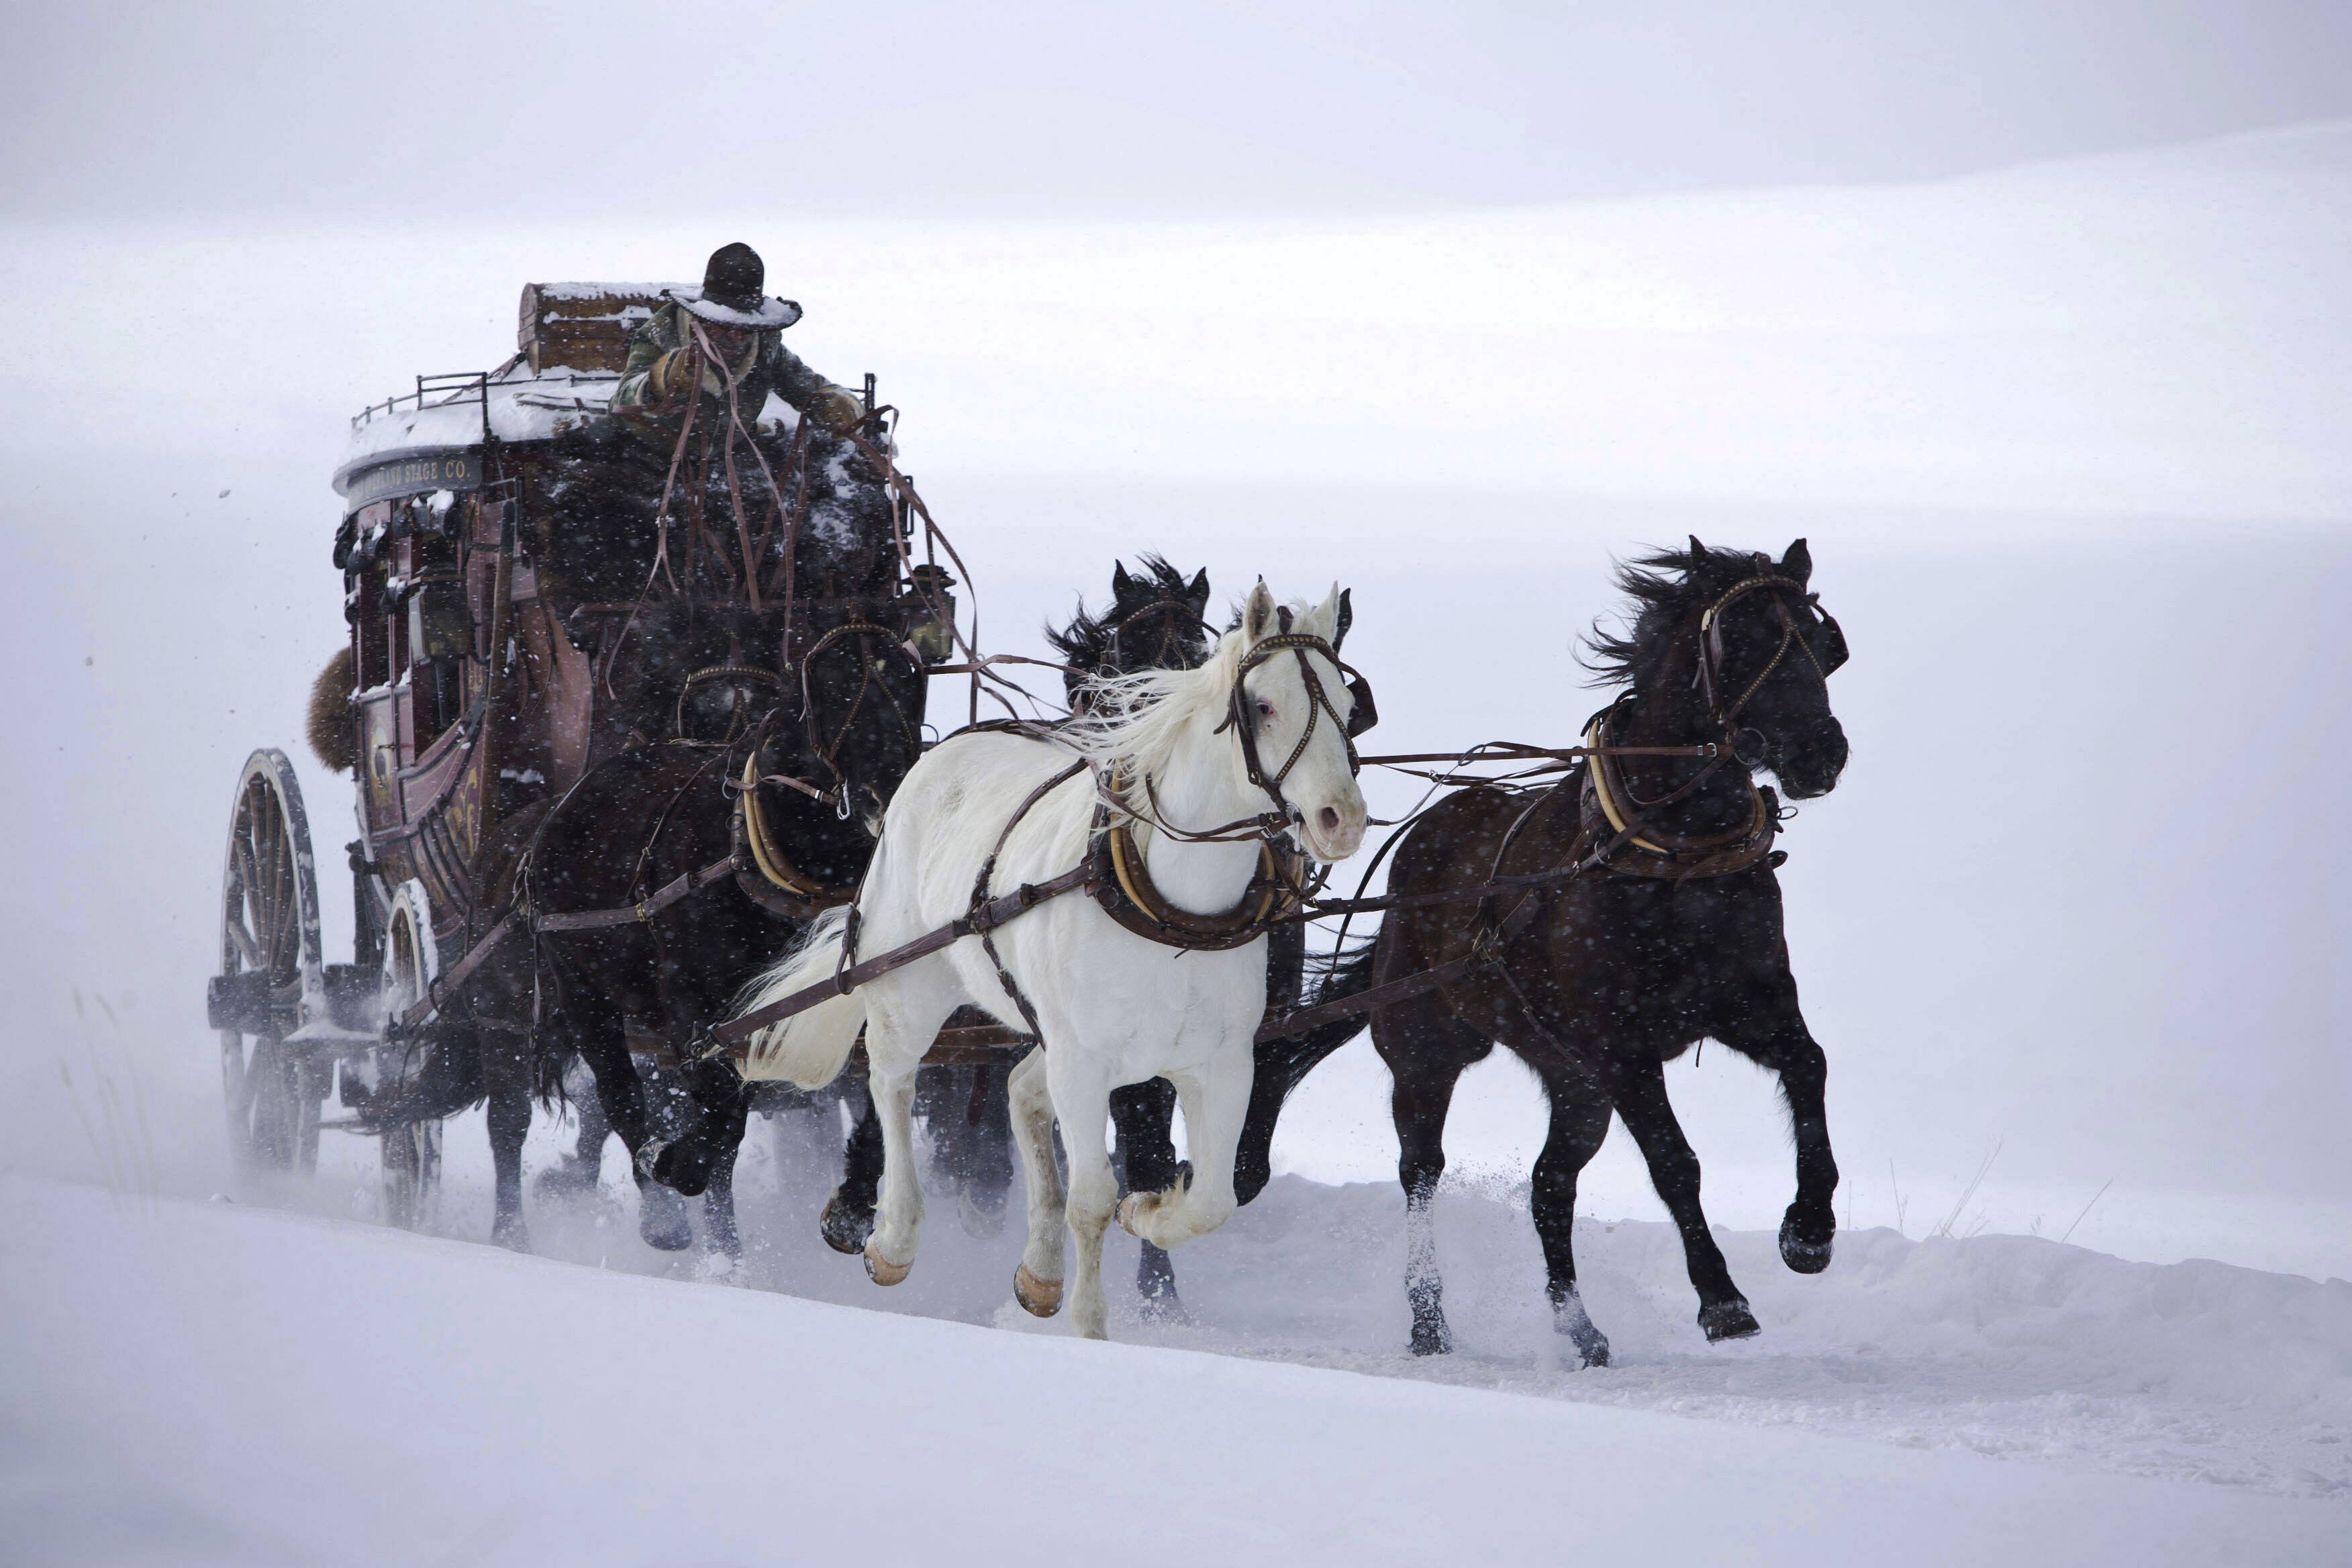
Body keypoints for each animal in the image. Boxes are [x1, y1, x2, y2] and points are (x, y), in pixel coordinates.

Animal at [729, 583, 1364, 1344]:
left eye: (1349, 706)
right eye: (1264, 706)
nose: (1341, 820)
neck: (1172, 907)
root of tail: (940, 754)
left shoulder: (1220, 1061)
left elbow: (1212, 1199)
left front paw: (1150, 1210)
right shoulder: (1085, 1062)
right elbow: (1090, 1198)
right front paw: (1090, 1327)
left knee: (1019, 1092)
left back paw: (1039, 1269)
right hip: (911, 987)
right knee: (892, 1083)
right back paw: (895, 1237)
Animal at [1232, 540, 1853, 1363]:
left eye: (1821, 645)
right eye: (1745, 640)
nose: (1823, 752)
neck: (1672, 855)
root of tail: (1418, 850)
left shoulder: (1750, 1004)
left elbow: (1809, 1066)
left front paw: (1808, 1230)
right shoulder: (1622, 1047)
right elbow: (1675, 1162)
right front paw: (1722, 1298)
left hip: (1574, 1083)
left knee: (1549, 1184)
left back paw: (1578, 1327)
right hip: (1430, 1052)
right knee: (1421, 1171)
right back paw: (1428, 1318)